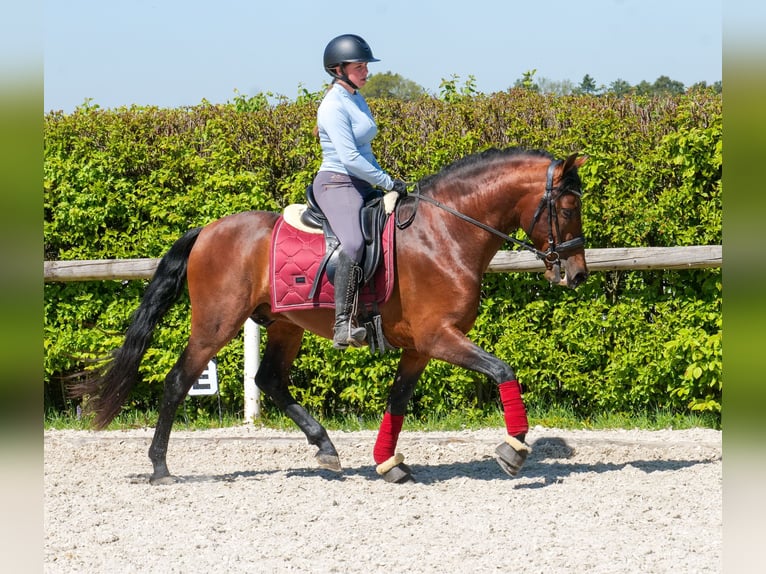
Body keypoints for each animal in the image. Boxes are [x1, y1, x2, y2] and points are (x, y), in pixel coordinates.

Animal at [70, 147, 589, 485]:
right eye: (568, 206)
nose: (577, 273)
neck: (444, 231)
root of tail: (207, 231)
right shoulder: (439, 337)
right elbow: (503, 369)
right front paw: (514, 449)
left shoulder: (421, 347)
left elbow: (398, 400)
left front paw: (388, 463)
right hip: (216, 324)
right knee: (179, 380)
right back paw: (160, 467)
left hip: (283, 326)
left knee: (268, 380)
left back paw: (325, 447)